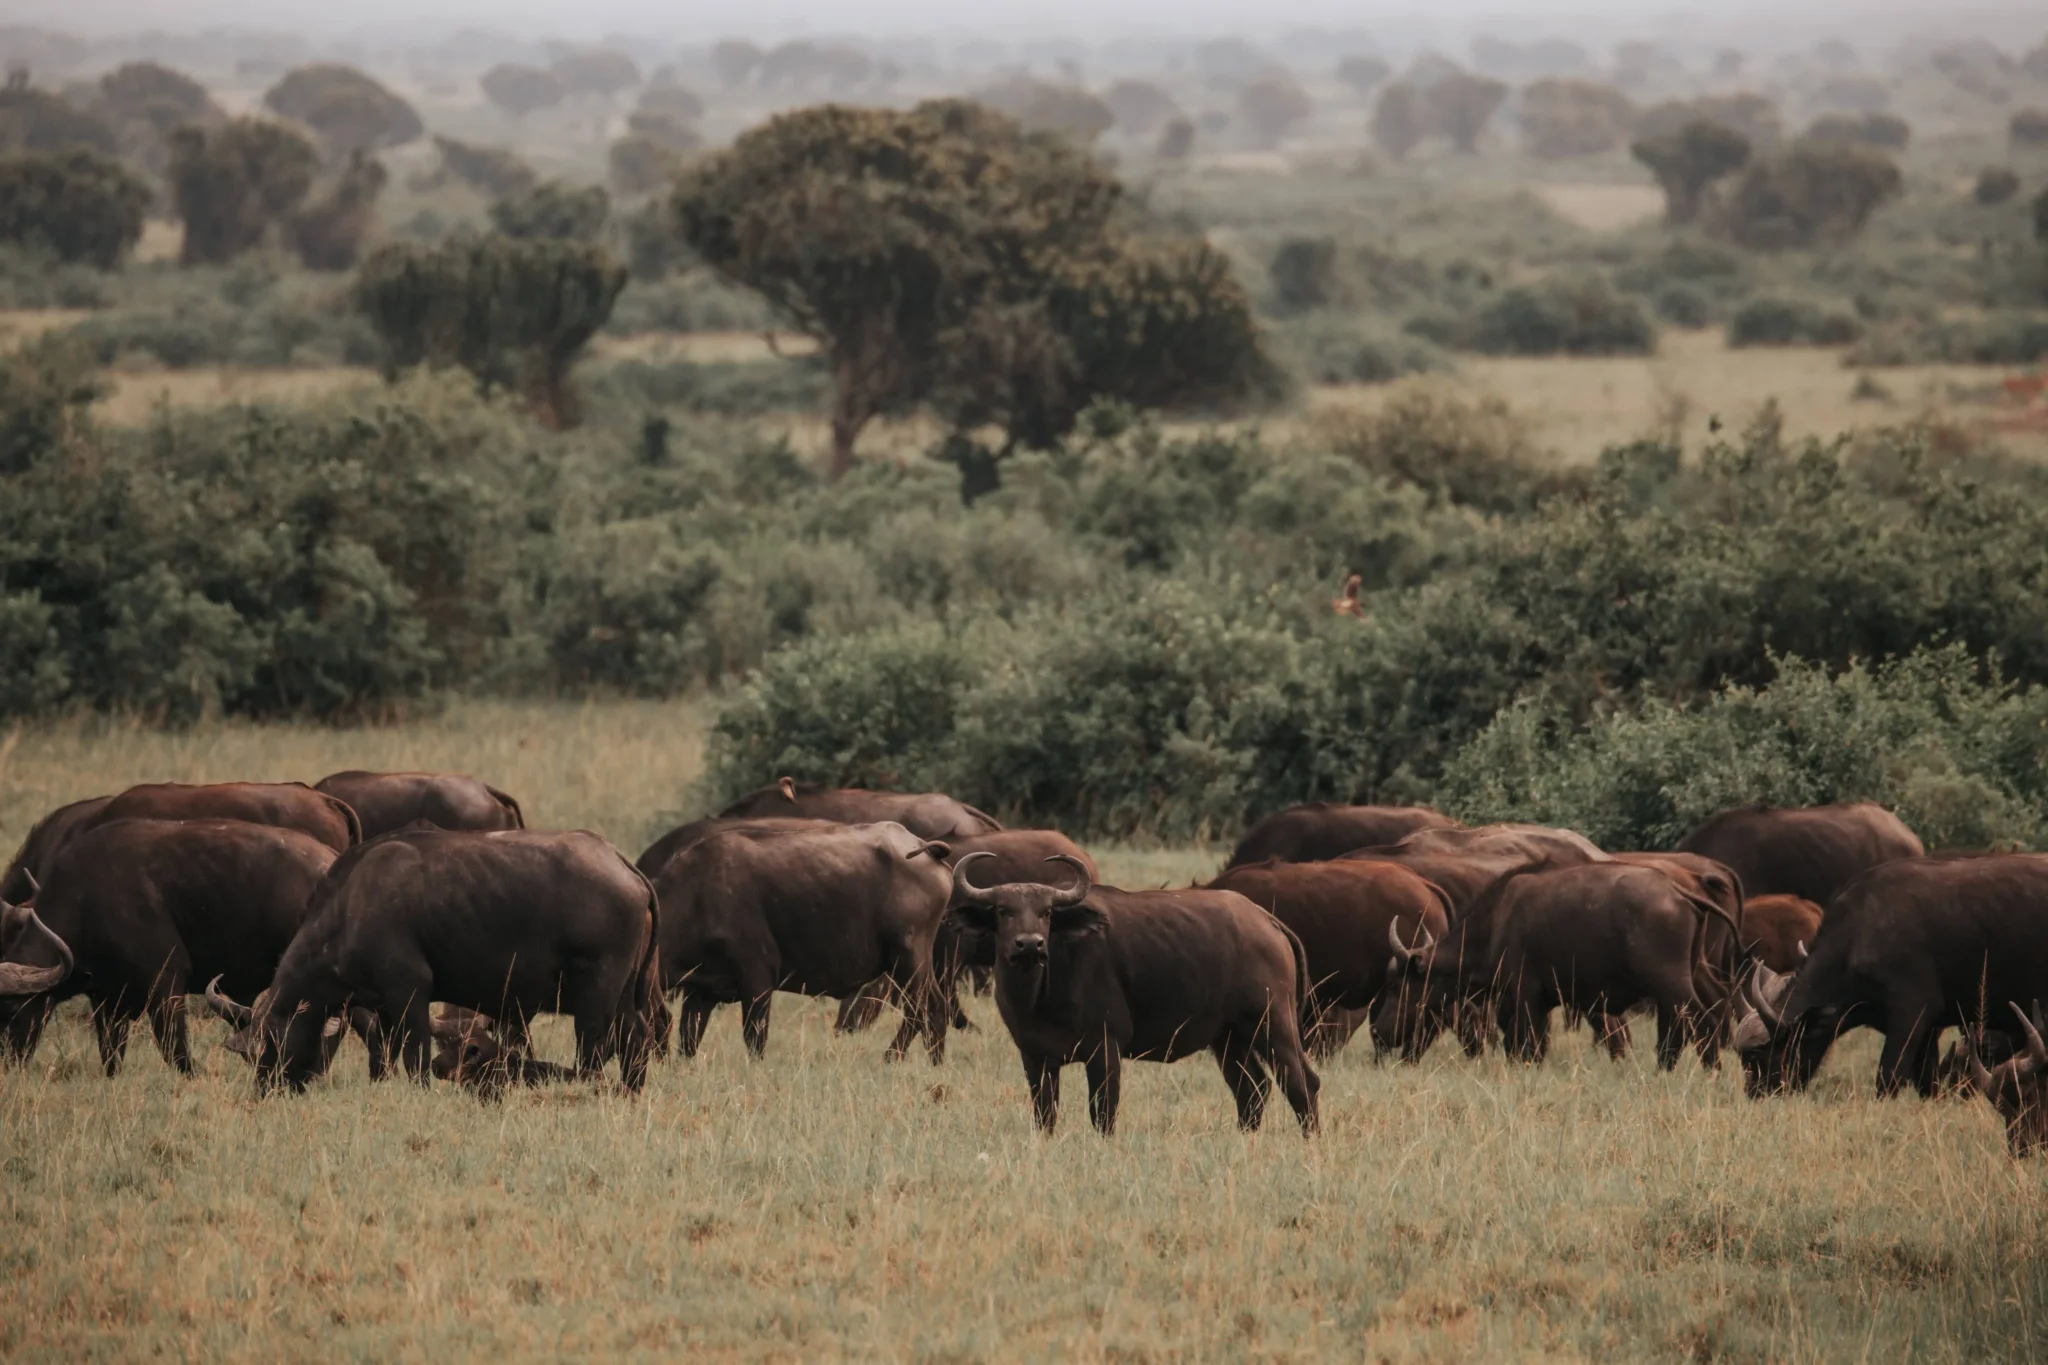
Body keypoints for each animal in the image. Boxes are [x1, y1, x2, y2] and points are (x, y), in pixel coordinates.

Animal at [0, 819, 337, 1074]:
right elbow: (110, 1055)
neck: (88, 902)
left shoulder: (166, 985)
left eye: (12, 1009)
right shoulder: (106, 1001)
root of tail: (328, 858)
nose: (6, 1062)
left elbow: (175, 1050)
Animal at [246, 829, 662, 1093]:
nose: (266, 1087)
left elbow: (415, 1055)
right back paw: (630, 1091)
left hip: (596, 995)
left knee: (594, 1048)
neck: (349, 907)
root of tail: (621, 863)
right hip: (624, 996)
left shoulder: (410, 990)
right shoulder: (383, 1006)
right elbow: (387, 1052)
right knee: (637, 1037)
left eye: (269, 1043)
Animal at [651, 821, 954, 1061]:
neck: (695, 897)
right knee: (929, 1009)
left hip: (909, 958)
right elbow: (688, 1040)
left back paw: (897, 1058)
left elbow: (754, 1039)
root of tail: (924, 848)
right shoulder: (701, 992)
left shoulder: (758, 981)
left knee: (926, 1009)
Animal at [945, 855, 1319, 1136]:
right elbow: (1045, 1115)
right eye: (1003, 911)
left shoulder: (1105, 1050)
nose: (1030, 945)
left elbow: (1103, 1114)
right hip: (1229, 1038)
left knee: (1302, 1083)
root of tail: (1267, 921)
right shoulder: (1035, 1057)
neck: (1040, 997)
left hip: (1273, 1024)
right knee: (1252, 1090)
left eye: (1046, 912)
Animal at [1739, 855, 2048, 1098]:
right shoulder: (1926, 1032)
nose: (1756, 1094)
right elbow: (1927, 1084)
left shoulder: (1911, 1014)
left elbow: (1887, 1078)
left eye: (1761, 1054)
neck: (1858, 934)